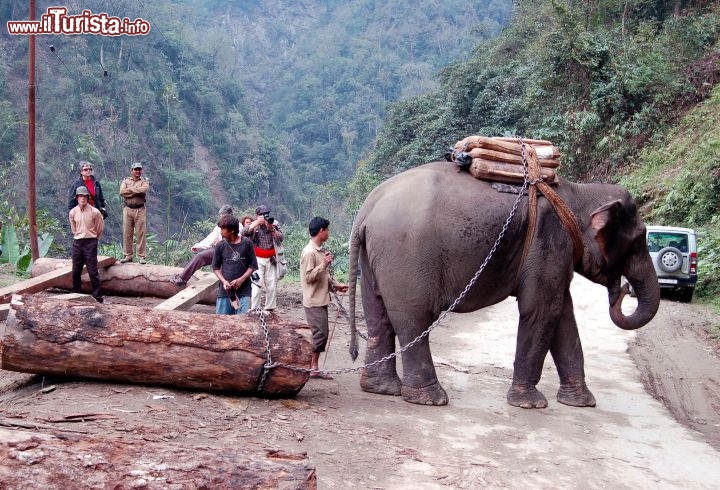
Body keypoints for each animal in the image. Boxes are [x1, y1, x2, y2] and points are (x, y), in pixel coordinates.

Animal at [348, 163, 660, 408]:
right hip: (406, 258)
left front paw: (581, 402)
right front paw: (530, 404)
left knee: (377, 314)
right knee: (414, 318)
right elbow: (542, 310)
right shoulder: (548, 239)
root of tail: (366, 210)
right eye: (639, 240)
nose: (623, 289)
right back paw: (431, 398)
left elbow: (562, 314)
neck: (577, 193)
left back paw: (382, 389)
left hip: (376, 258)